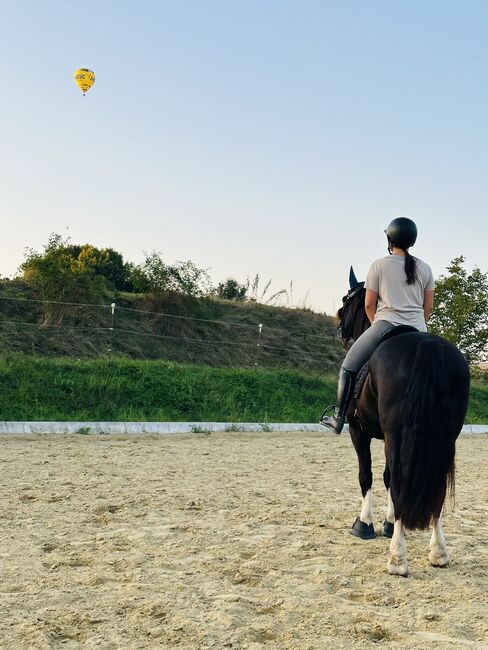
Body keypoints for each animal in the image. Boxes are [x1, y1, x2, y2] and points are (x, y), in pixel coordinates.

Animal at [338, 266, 470, 576]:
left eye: (346, 300)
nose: (339, 325)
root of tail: (428, 345)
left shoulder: (358, 431)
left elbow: (367, 475)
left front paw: (365, 524)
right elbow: (385, 477)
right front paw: (387, 524)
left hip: (395, 435)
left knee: (400, 482)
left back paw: (397, 558)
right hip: (443, 439)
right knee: (436, 488)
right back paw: (438, 552)